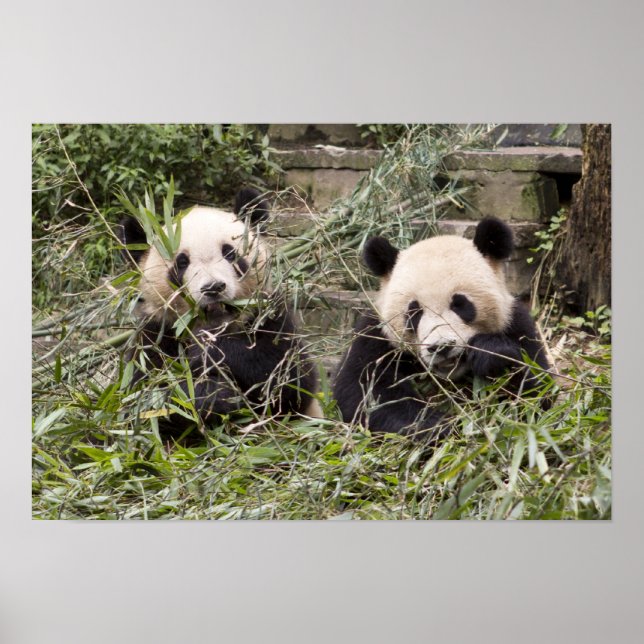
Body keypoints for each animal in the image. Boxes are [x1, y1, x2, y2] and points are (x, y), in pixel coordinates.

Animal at [118, 187, 321, 424]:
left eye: (230, 253)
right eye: (182, 262)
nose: (213, 287)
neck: (216, 325)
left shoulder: (270, 317)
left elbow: (289, 380)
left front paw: (207, 354)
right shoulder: (156, 334)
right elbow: (144, 401)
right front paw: (215, 396)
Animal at [332, 217, 550, 441]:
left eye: (460, 304)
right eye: (414, 312)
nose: (441, 346)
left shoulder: (517, 324)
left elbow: (536, 396)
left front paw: (491, 354)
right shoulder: (375, 336)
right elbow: (366, 393)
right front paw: (439, 427)